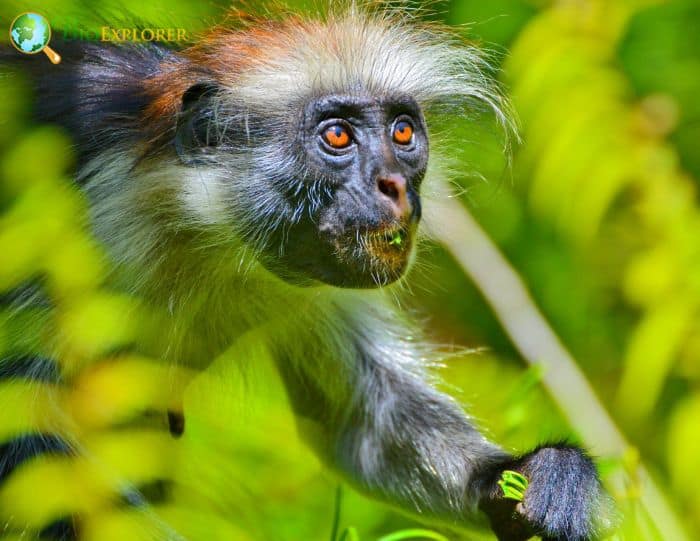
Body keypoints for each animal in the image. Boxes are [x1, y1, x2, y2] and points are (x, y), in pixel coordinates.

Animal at [0, 5, 608, 540]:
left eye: (403, 133)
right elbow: (29, 444)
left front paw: (541, 477)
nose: (395, 185)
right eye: (337, 136)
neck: (200, 229)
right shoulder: (72, 223)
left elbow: (362, 424)